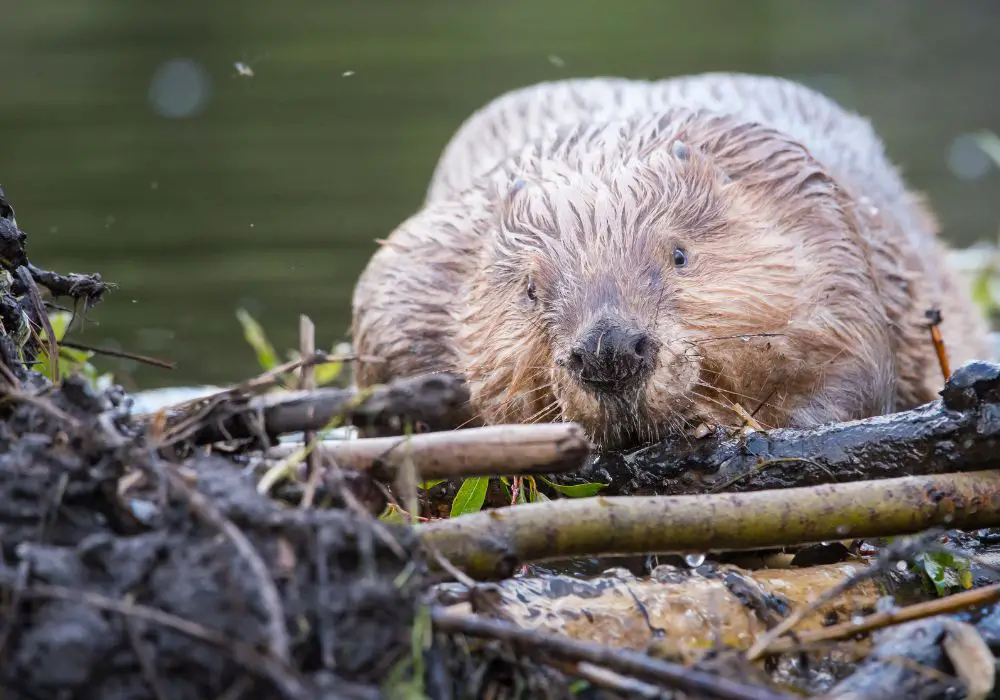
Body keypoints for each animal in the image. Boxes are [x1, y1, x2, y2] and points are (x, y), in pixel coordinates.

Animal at [352, 72, 992, 448]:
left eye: (679, 254)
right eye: (529, 290)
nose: (609, 351)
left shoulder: (824, 228)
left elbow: (852, 369)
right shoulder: (418, 269)